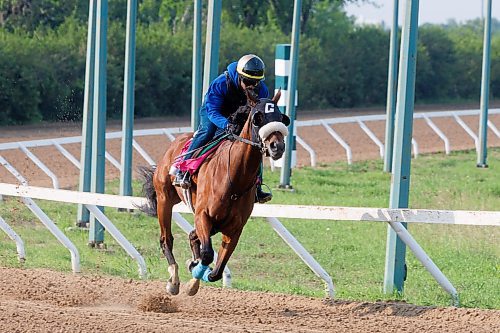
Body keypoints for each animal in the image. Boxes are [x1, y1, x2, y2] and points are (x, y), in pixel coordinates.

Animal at [140, 89, 290, 294]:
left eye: (281, 118)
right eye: (258, 118)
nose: (277, 146)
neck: (235, 179)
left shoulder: (234, 228)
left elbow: (216, 271)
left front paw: (195, 272)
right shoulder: (203, 215)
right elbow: (207, 254)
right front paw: (192, 280)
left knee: (193, 236)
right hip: (164, 199)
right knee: (166, 239)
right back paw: (174, 279)